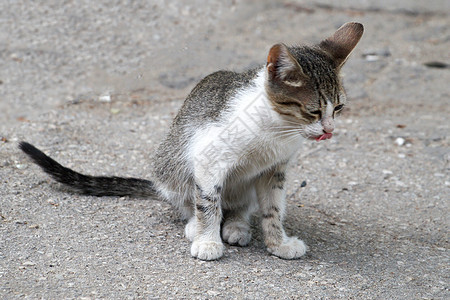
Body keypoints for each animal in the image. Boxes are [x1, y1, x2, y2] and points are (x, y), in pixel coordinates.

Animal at [19, 21, 364, 260]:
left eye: (339, 108)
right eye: (312, 111)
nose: (329, 130)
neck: (278, 130)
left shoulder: (274, 170)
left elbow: (273, 209)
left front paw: (278, 243)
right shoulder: (208, 157)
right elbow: (208, 201)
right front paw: (207, 240)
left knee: (239, 204)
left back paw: (236, 225)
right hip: (172, 165)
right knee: (188, 200)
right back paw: (194, 226)